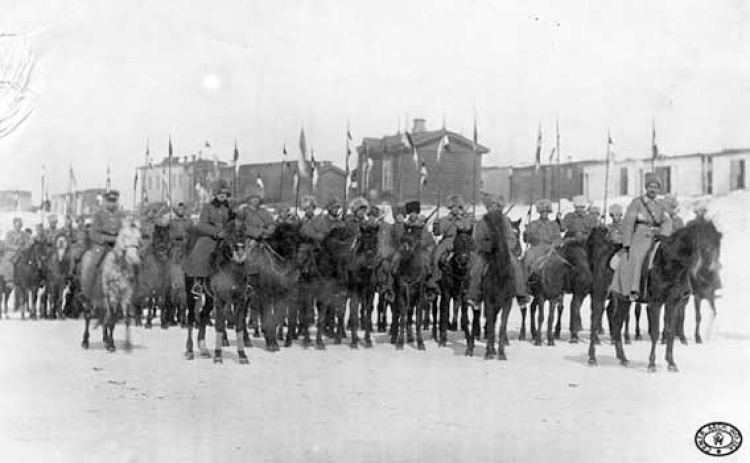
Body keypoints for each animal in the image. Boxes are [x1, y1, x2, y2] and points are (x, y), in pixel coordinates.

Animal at [81, 224, 143, 352]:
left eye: (139, 238)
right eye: (125, 236)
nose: (135, 260)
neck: (120, 267)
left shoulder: (126, 294)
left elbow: (126, 319)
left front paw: (127, 345)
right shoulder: (112, 295)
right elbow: (112, 320)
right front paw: (111, 345)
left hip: (102, 299)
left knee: (104, 316)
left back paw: (105, 339)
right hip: (89, 296)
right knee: (88, 316)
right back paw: (85, 341)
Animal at [592, 221, 724, 374]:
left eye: (718, 244)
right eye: (706, 247)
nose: (713, 277)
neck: (670, 262)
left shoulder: (673, 303)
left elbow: (670, 331)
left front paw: (671, 363)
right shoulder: (656, 303)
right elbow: (655, 332)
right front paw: (652, 364)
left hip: (624, 300)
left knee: (617, 322)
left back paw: (622, 358)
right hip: (600, 295)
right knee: (595, 320)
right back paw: (592, 358)